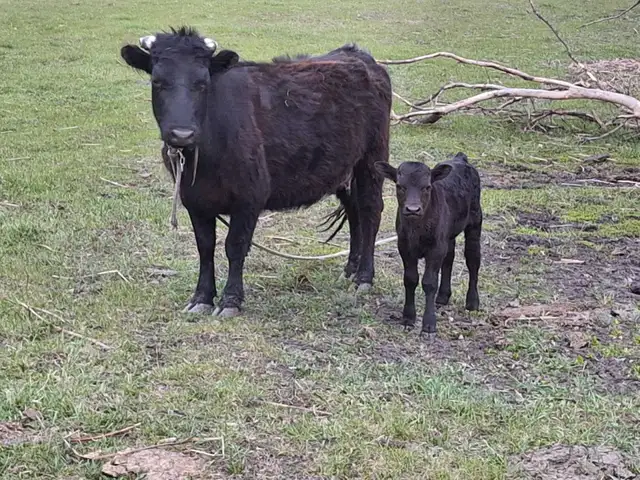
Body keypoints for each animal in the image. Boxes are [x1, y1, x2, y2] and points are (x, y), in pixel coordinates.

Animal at [120, 27, 392, 317]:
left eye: (202, 83)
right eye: (158, 81)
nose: (182, 134)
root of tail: (360, 56)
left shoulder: (250, 197)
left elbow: (235, 246)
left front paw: (230, 301)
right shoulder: (194, 200)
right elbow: (205, 246)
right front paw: (202, 298)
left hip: (372, 158)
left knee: (370, 210)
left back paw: (363, 277)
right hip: (343, 168)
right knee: (354, 211)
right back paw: (350, 270)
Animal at [375, 152, 483, 338]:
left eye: (427, 187)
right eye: (399, 186)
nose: (412, 209)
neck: (417, 229)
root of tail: (460, 158)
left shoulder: (435, 249)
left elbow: (429, 282)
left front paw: (429, 324)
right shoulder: (404, 246)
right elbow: (410, 279)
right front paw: (408, 318)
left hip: (475, 221)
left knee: (473, 259)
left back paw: (472, 302)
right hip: (447, 235)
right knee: (449, 258)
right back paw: (443, 296)